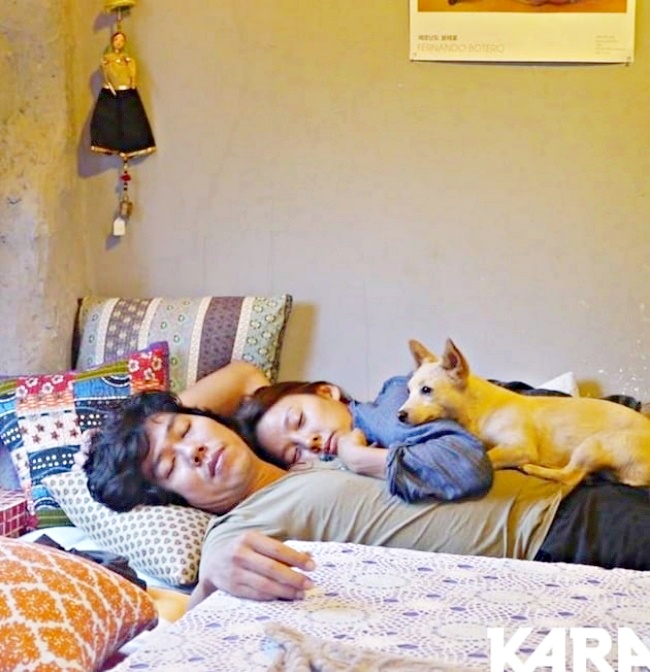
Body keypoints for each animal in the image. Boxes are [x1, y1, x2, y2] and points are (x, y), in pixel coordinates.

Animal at [397, 338, 650, 489]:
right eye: (408, 391)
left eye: (427, 390)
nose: (399, 415)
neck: (477, 410)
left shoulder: (519, 446)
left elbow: (489, 456)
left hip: (595, 444)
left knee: (571, 476)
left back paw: (533, 467)